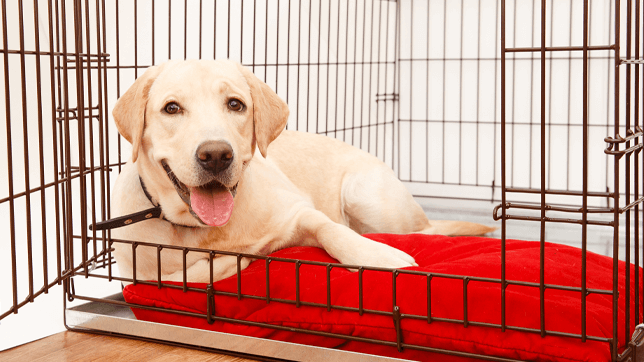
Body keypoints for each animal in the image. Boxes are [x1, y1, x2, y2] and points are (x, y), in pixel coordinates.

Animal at [110, 60, 494, 282]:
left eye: (235, 104)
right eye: (171, 108)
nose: (216, 155)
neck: (202, 230)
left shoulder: (298, 212)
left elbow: (332, 230)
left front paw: (374, 255)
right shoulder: (136, 272)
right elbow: (184, 275)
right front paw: (229, 262)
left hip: (365, 194)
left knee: (424, 231)